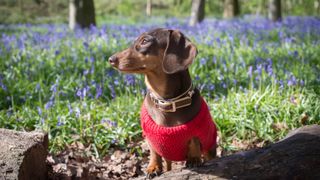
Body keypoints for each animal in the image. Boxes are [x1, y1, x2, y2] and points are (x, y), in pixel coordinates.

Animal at [108, 28, 218, 179]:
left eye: (145, 41)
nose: (111, 59)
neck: (167, 102)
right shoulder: (151, 138)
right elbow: (154, 153)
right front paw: (153, 167)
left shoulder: (197, 131)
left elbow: (194, 142)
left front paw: (194, 159)